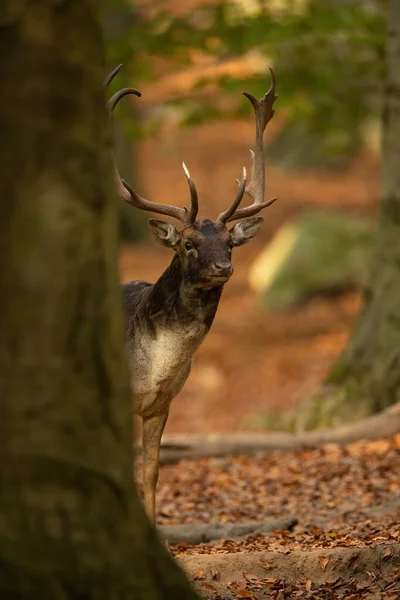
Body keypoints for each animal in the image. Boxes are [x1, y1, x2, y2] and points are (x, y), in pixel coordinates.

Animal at [104, 67, 276, 524]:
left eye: (231, 244)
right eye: (187, 243)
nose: (224, 268)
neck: (154, 368)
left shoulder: (162, 404)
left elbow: (150, 472)